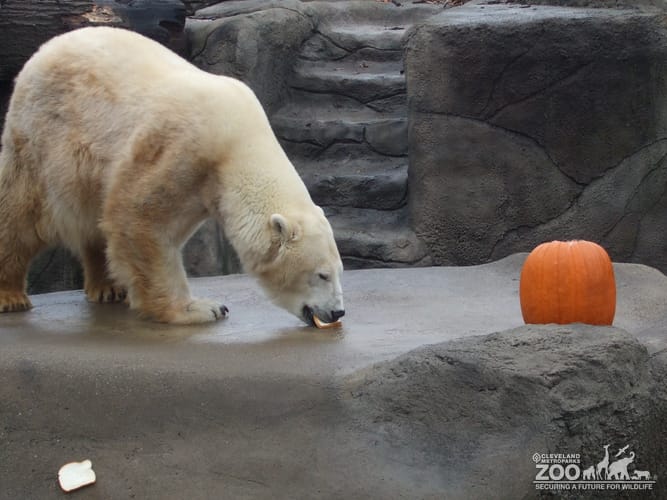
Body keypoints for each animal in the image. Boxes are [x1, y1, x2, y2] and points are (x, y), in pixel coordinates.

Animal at [0, 27, 345, 326]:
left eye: (339, 270)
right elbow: (138, 220)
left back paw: (108, 287)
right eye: (322, 274)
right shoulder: (177, 148)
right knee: (23, 213)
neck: (237, 142)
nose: (337, 312)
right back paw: (11, 295)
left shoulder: (204, 184)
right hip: (44, 135)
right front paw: (201, 309)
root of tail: (44, 49)